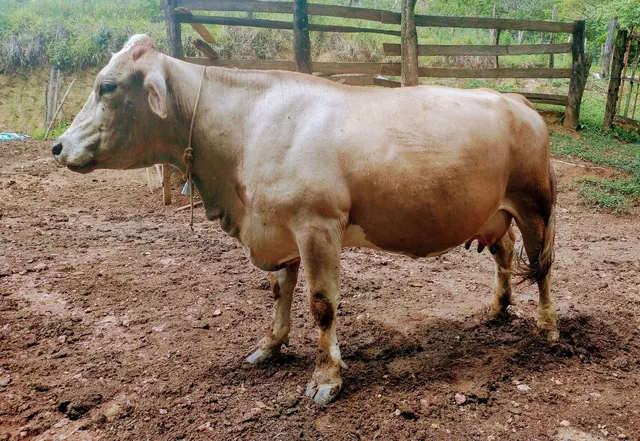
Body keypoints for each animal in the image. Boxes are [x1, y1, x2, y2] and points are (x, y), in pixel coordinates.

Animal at [52, 35, 557, 405]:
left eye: (107, 86)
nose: (57, 146)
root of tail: (518, 100)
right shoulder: (276, 230)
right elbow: (279, 293)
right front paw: (269, 346)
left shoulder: (317, 226)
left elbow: (321, 304)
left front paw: (326, 377)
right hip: (494, 212)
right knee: (505, 256)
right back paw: (497, 309)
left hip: (536, 205)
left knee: (543, 267)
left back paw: (548, 327)